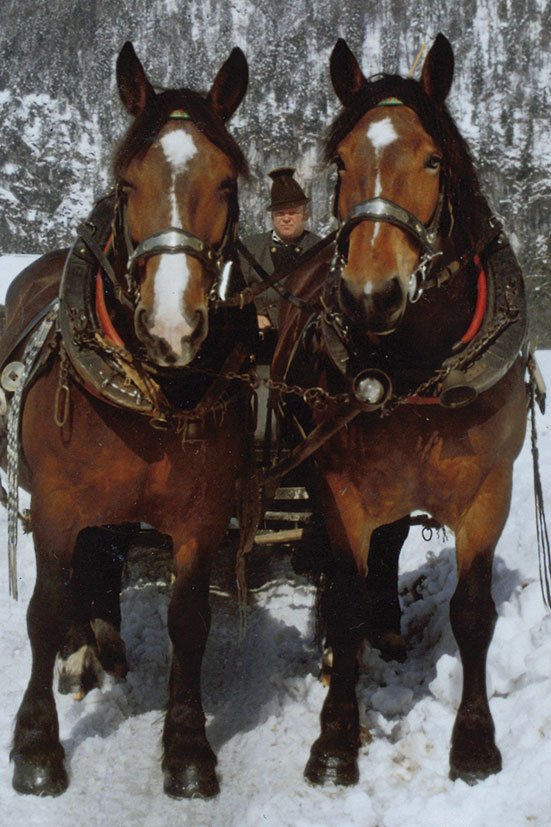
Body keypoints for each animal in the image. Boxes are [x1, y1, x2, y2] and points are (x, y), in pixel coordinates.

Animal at [2, 41, 255, 799]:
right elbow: (44, 607)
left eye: (227, 182)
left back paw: (106, 644)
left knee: (105, 557)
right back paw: (82, 651)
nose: (172, 326)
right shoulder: (56, 506)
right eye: (125, 181)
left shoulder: (201, 515)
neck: (152, 394)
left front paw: (188, 748)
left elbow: (189, 621)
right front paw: (37, 746)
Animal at [272, 34, 528, 787]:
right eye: (341, 161)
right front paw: (334, 738)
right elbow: (346, 598)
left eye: (433, 159)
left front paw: (473, 741)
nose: (371, 294)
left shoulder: (489, 490)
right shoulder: (342, 488)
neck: (414, 369)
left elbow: (471, 612)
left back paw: (388, 627)